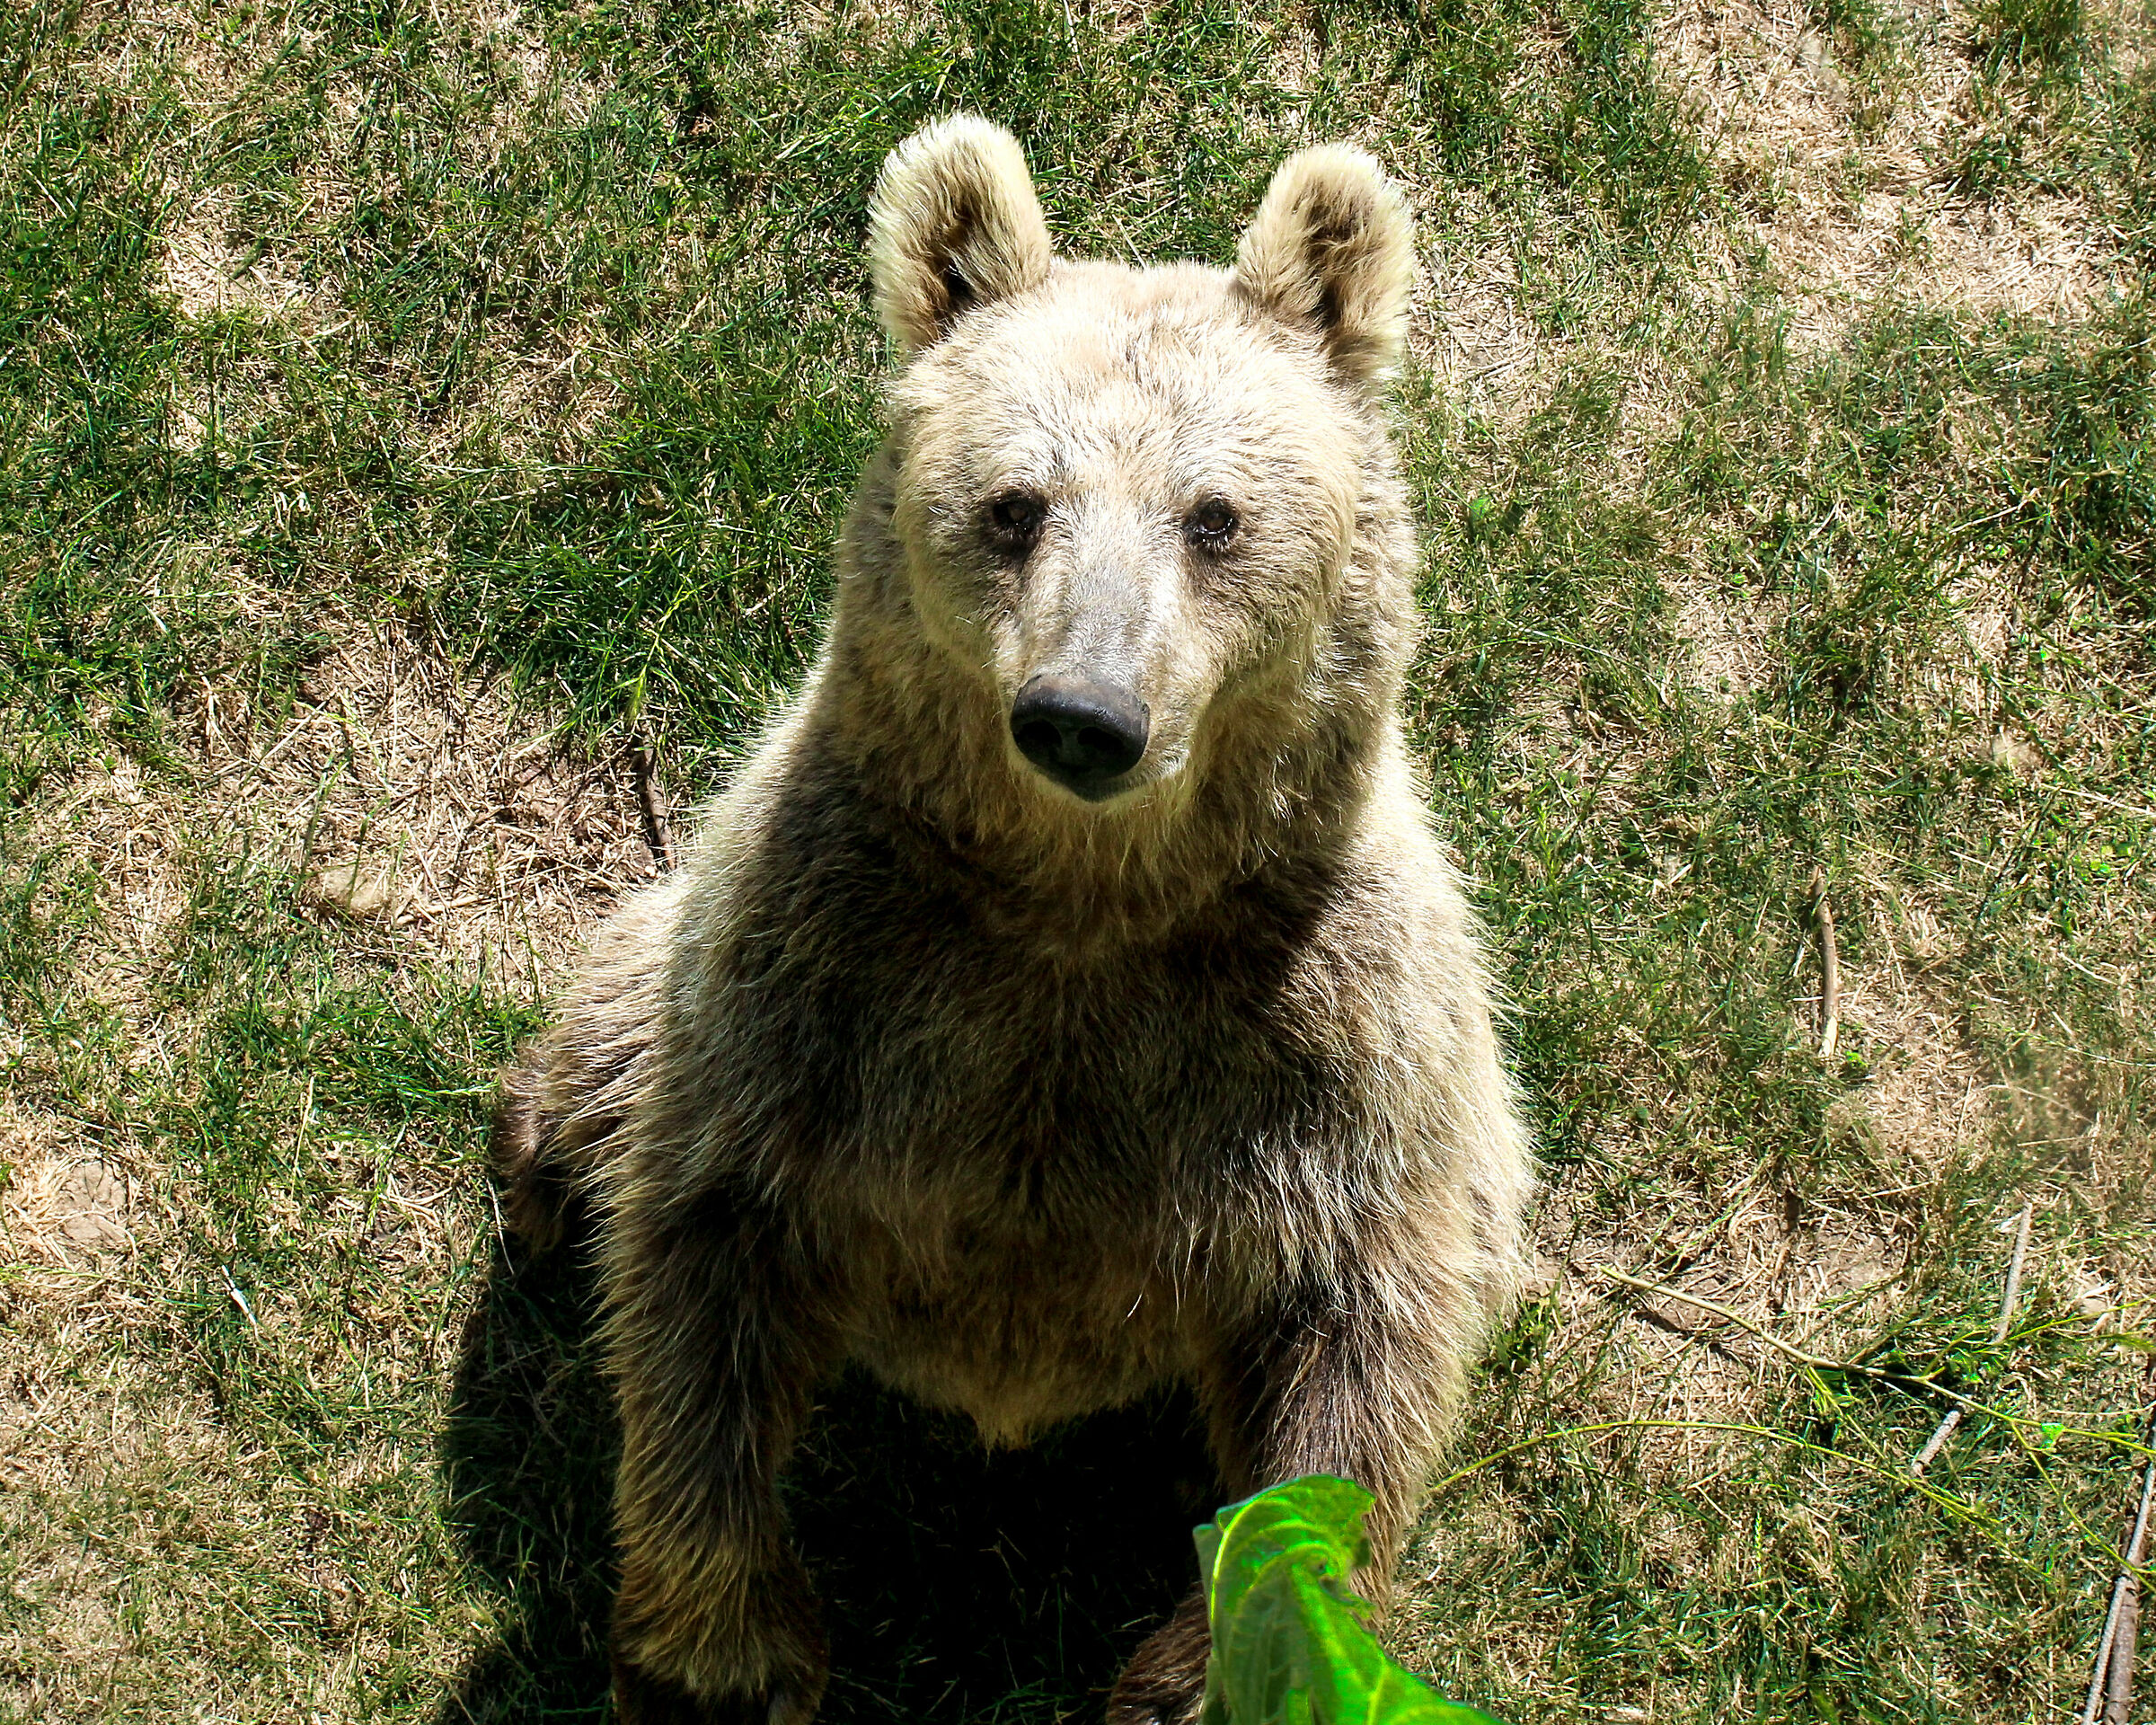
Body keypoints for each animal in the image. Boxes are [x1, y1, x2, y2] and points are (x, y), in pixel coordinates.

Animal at [492, 114, 1534, 1725]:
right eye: (1014, 504)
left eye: (1213, 515)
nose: (1084, 715)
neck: (1082, 906)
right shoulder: (828, 983)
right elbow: (699, 1263)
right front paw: (724, 1650)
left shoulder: (1328, 1055)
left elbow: (1360, 1349)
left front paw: (1203, 1666)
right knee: (599, 1061)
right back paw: (540, 1150)